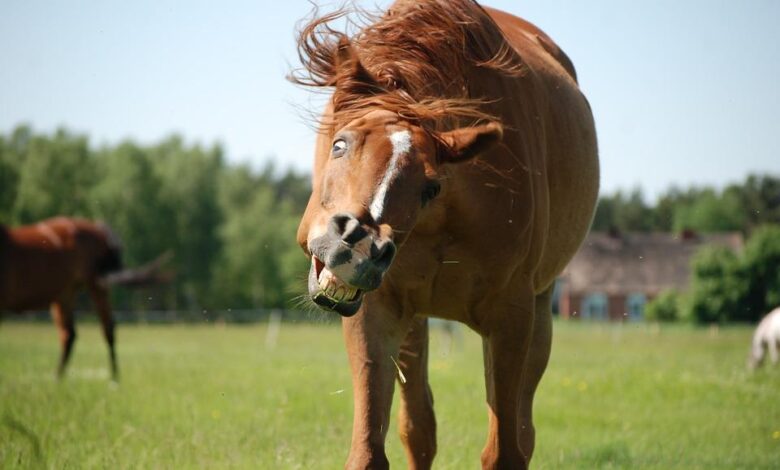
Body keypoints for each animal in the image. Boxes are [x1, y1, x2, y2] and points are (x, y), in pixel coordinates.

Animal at [0, 216, 123, 380]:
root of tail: (96, 227)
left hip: (95, 287)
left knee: (107, 328)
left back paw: (114, 378)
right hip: (65, 295)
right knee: (69, 334)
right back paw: (58, 378)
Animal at [292, 1, 598, 468]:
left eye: (429, 187)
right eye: (339, 145)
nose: (358, 246)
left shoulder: (511, 317)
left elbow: (505, 450)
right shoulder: (375, 311)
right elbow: (373, 449)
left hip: (539, 313)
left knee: (523, 430)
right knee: (419, 428)